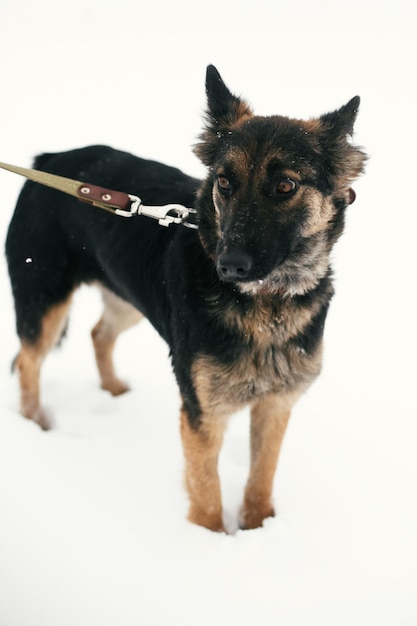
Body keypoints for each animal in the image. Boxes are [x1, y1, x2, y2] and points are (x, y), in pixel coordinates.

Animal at [5, 66, 364, 528]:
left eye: (286, 185)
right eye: (224, 182)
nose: (229, 266)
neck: (267, 304)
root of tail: (50, 160)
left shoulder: (276, 404)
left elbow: (261, 476)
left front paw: (258, 525)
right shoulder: (202, 412)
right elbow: (207, 492)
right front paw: (210, 537)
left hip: (127, 295)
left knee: (99, 333)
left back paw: (115, 391)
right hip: (45, 303)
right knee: (30, 361)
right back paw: (37, 424)